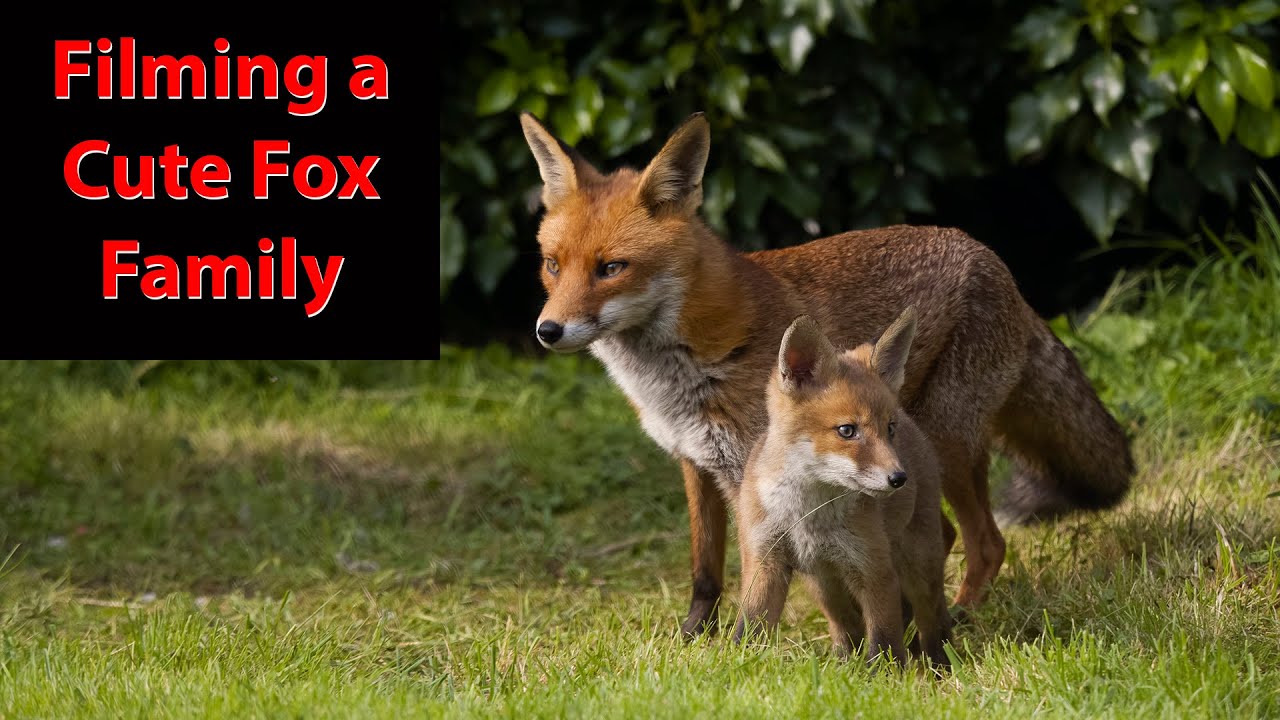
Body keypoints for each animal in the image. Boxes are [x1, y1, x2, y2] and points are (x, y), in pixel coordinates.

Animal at [733, 309, 953, 668]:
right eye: (847, 431)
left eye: (889, 429)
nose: (898, 478)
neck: (806, 513)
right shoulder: (764, 560)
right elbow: (748, 630)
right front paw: (738, 664)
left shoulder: (874, 569)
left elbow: (884, 643)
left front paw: (883, 677)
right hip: (823, 584)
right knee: (846, 627)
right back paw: (841, 662)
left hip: (917, 563)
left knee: (932, 617)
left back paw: (940, 663)